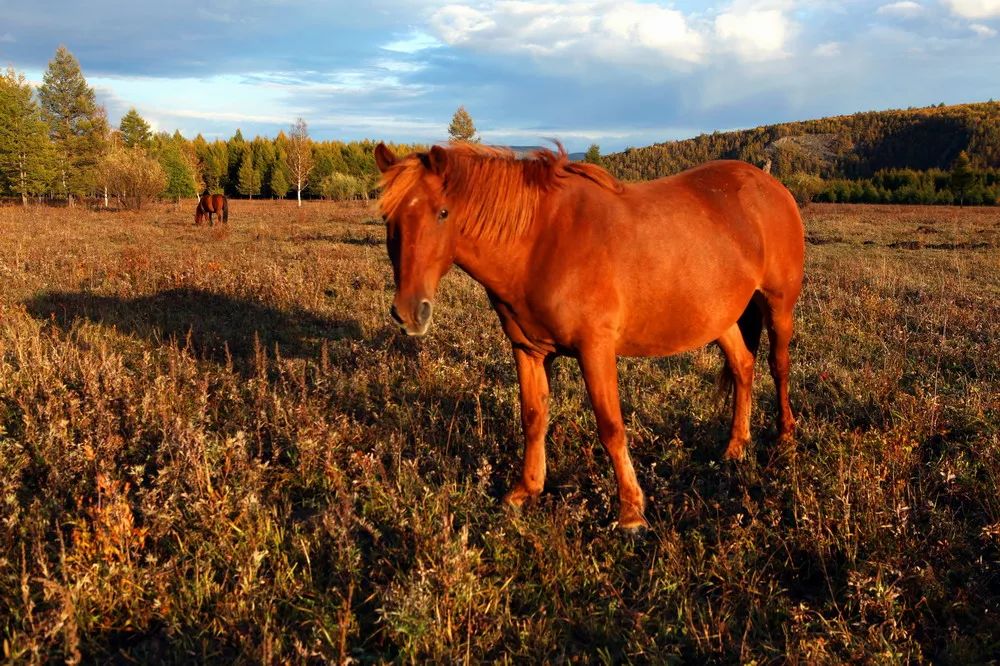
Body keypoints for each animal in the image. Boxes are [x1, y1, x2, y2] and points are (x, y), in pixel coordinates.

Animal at [376, 141, 804, 528]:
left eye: (442, 212)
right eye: (387, 218)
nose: (409, 312)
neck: (539, 243)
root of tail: (770, 185)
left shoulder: (595, 349)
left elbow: (611, 426)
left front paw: (630, 511)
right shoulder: (527, 349)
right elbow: (533, 418)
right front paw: (525, 490)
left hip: (778, 305)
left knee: (778, 365)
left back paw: (784, 437)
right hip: (719, 317)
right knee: (743, 367)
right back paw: (735, 447)